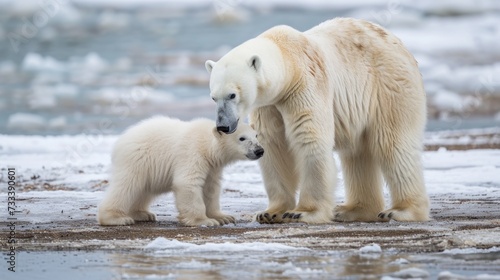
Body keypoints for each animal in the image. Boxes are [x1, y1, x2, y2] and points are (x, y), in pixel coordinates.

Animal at [99, 116, 268, 228]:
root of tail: (121, 140)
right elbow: (188, 183)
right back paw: (116, 218)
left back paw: (142, 214)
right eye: (242, 138)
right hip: (137, 159)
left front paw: (224, 217)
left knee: (143, 190)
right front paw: (204, 221)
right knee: (127, 185)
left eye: (256, 135)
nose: (259, 150)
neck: (207, 145)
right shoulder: (192, 154)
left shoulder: (212, 166)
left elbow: (211, 188)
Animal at [206, 17, 430, 223]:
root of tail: (398, 42)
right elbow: (273, 145)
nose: (223, 126)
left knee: (393, 144)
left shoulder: (305, 85)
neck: (288, 60)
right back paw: (353, 210)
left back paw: (401, 211)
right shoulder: (269, 105)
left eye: (232, 95)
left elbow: (309, 138)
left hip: (389, 88)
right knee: (358, 152)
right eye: (213, 97)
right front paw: (270, 212)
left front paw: (302, 212)